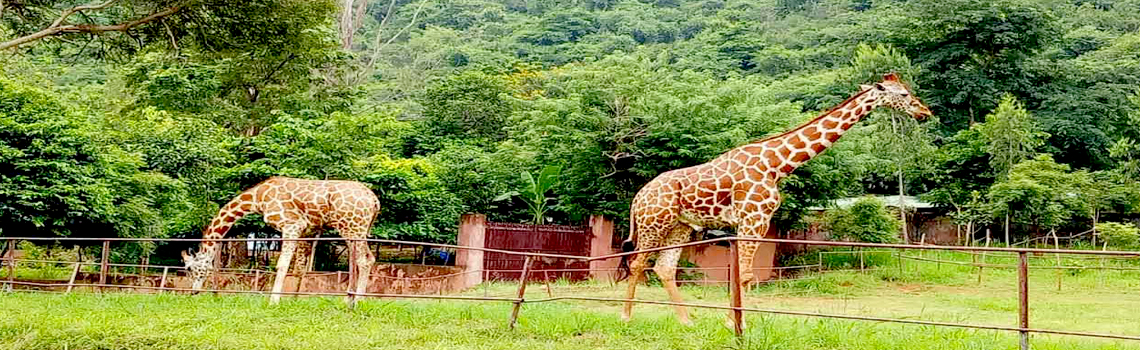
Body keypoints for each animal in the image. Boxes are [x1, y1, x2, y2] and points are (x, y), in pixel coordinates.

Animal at [180, 176, 380, 305]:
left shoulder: (292, 225)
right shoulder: (307, 230)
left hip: (353, 227)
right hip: (356, 229)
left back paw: (358, 300)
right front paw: (293, 299)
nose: (193, 292)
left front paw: (274, 300)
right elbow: (299, 269)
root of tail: (374, 201)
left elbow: (282, 265)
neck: (258, 198)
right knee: (361, 260)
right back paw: (349, 298)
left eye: (189, 268)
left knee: (364, 260)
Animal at [620, 73, 930, 326]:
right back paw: (626, 316)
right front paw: (737, 324)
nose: (925, 112)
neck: (775, 165)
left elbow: (743, 274)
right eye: (904, 94)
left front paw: (735, 321)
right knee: (637, 263)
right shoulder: (753, 217)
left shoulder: (758, 220)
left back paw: (686, 322)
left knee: (664, 268)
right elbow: (744, 274)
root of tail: (638, 197)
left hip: (681, 226)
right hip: (653, 224)